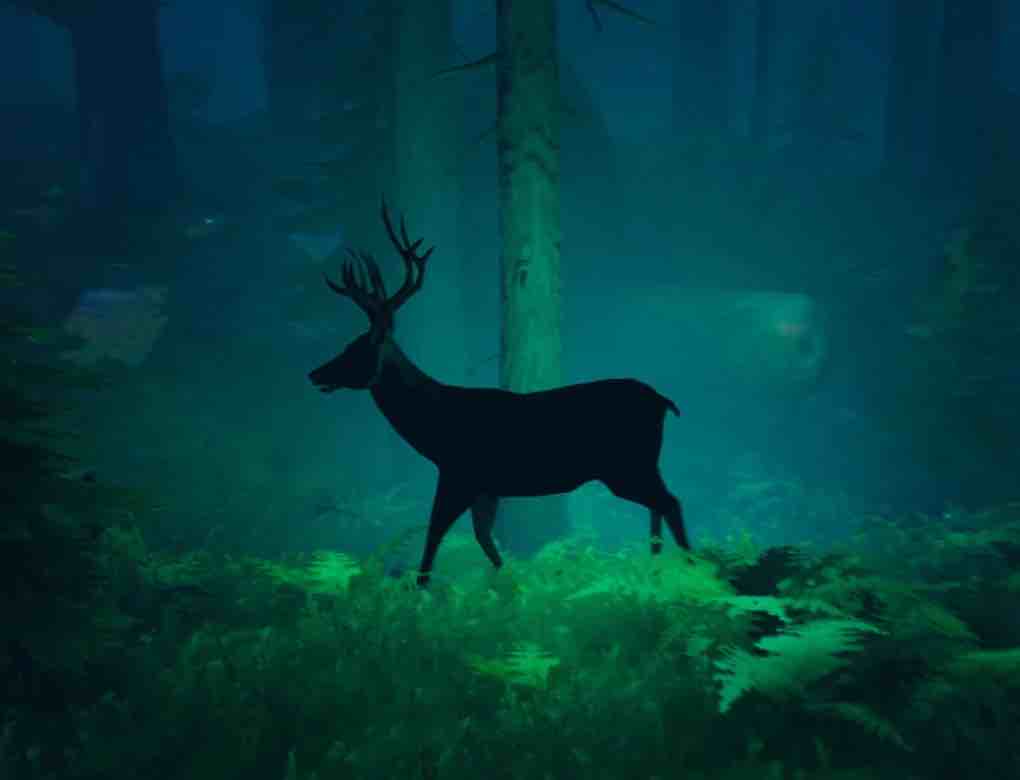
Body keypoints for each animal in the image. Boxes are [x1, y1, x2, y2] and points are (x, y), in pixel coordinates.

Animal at [308, 203, 690, 587]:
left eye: (354, 348)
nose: (315, 373)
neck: (434, 425)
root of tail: (664, 401)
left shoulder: (459, 471)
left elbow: (434, 537)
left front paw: (422, 592)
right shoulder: (485, 487)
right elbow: (485, 540)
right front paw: (511, 585)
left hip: (626, 464)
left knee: (670, 501)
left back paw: (691, 569)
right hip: (641, 464)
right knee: (659, 504)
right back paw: (659, 568)